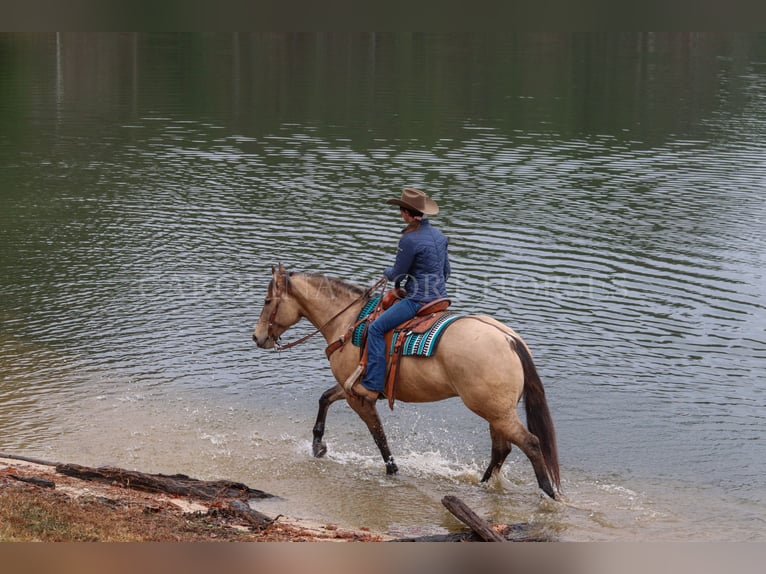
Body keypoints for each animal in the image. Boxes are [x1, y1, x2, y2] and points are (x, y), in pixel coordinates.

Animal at [255, 266, 560, 500]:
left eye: (268, 301)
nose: (257, 337)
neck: (349, 322)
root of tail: (509, 339)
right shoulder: (351, 387)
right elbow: (325, 398)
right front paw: (318, 445)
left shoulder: (359, 397)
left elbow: (380, 438)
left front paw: (392, 472)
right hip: (497, 412)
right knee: (502, 449)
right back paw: (482, 486)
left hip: (495, 412)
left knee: (530, 444)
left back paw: (548, 493)